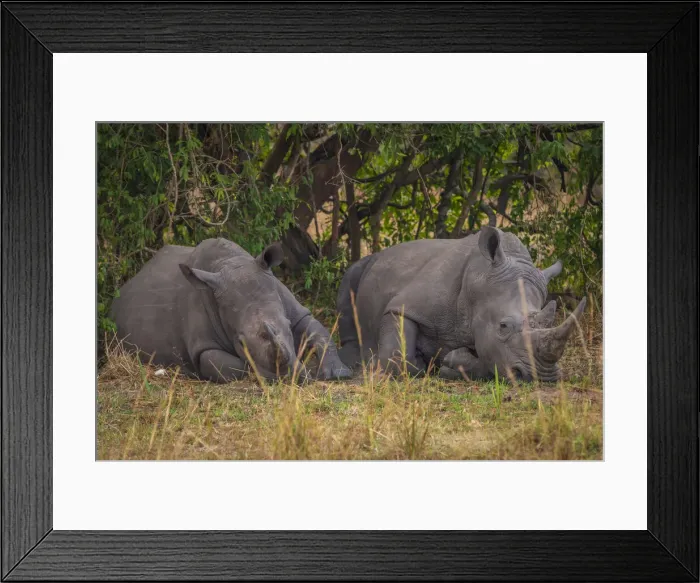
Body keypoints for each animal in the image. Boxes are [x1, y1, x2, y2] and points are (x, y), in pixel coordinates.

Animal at [111, 238, 352, 383]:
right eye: (240, 342)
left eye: (287, 325)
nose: (289, 377)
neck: (229, 263)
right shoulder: (203, 346)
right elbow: (233, 365)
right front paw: (262, 375)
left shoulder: (295, 310)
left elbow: (319, 332)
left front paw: (338, 374)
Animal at [336, 226, 586, 382]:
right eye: (503, 326)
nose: (542, 376)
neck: (478, 280)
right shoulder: (405, 306)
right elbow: (396, 355)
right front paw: (419, 362)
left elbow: (491, 359)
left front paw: (450, 363)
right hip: (370, 262)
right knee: (350, 277)